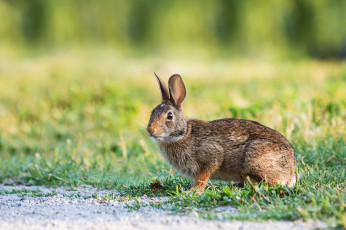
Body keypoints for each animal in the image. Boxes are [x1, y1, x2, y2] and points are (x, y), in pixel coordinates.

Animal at [146, 74, 298, 192]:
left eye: (169, 116)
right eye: (152, 112)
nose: (150, 130)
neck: (183, 134)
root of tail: (291, 171)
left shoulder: (210, 157)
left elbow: (202, 177)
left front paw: (193, 191)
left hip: (254, 158)